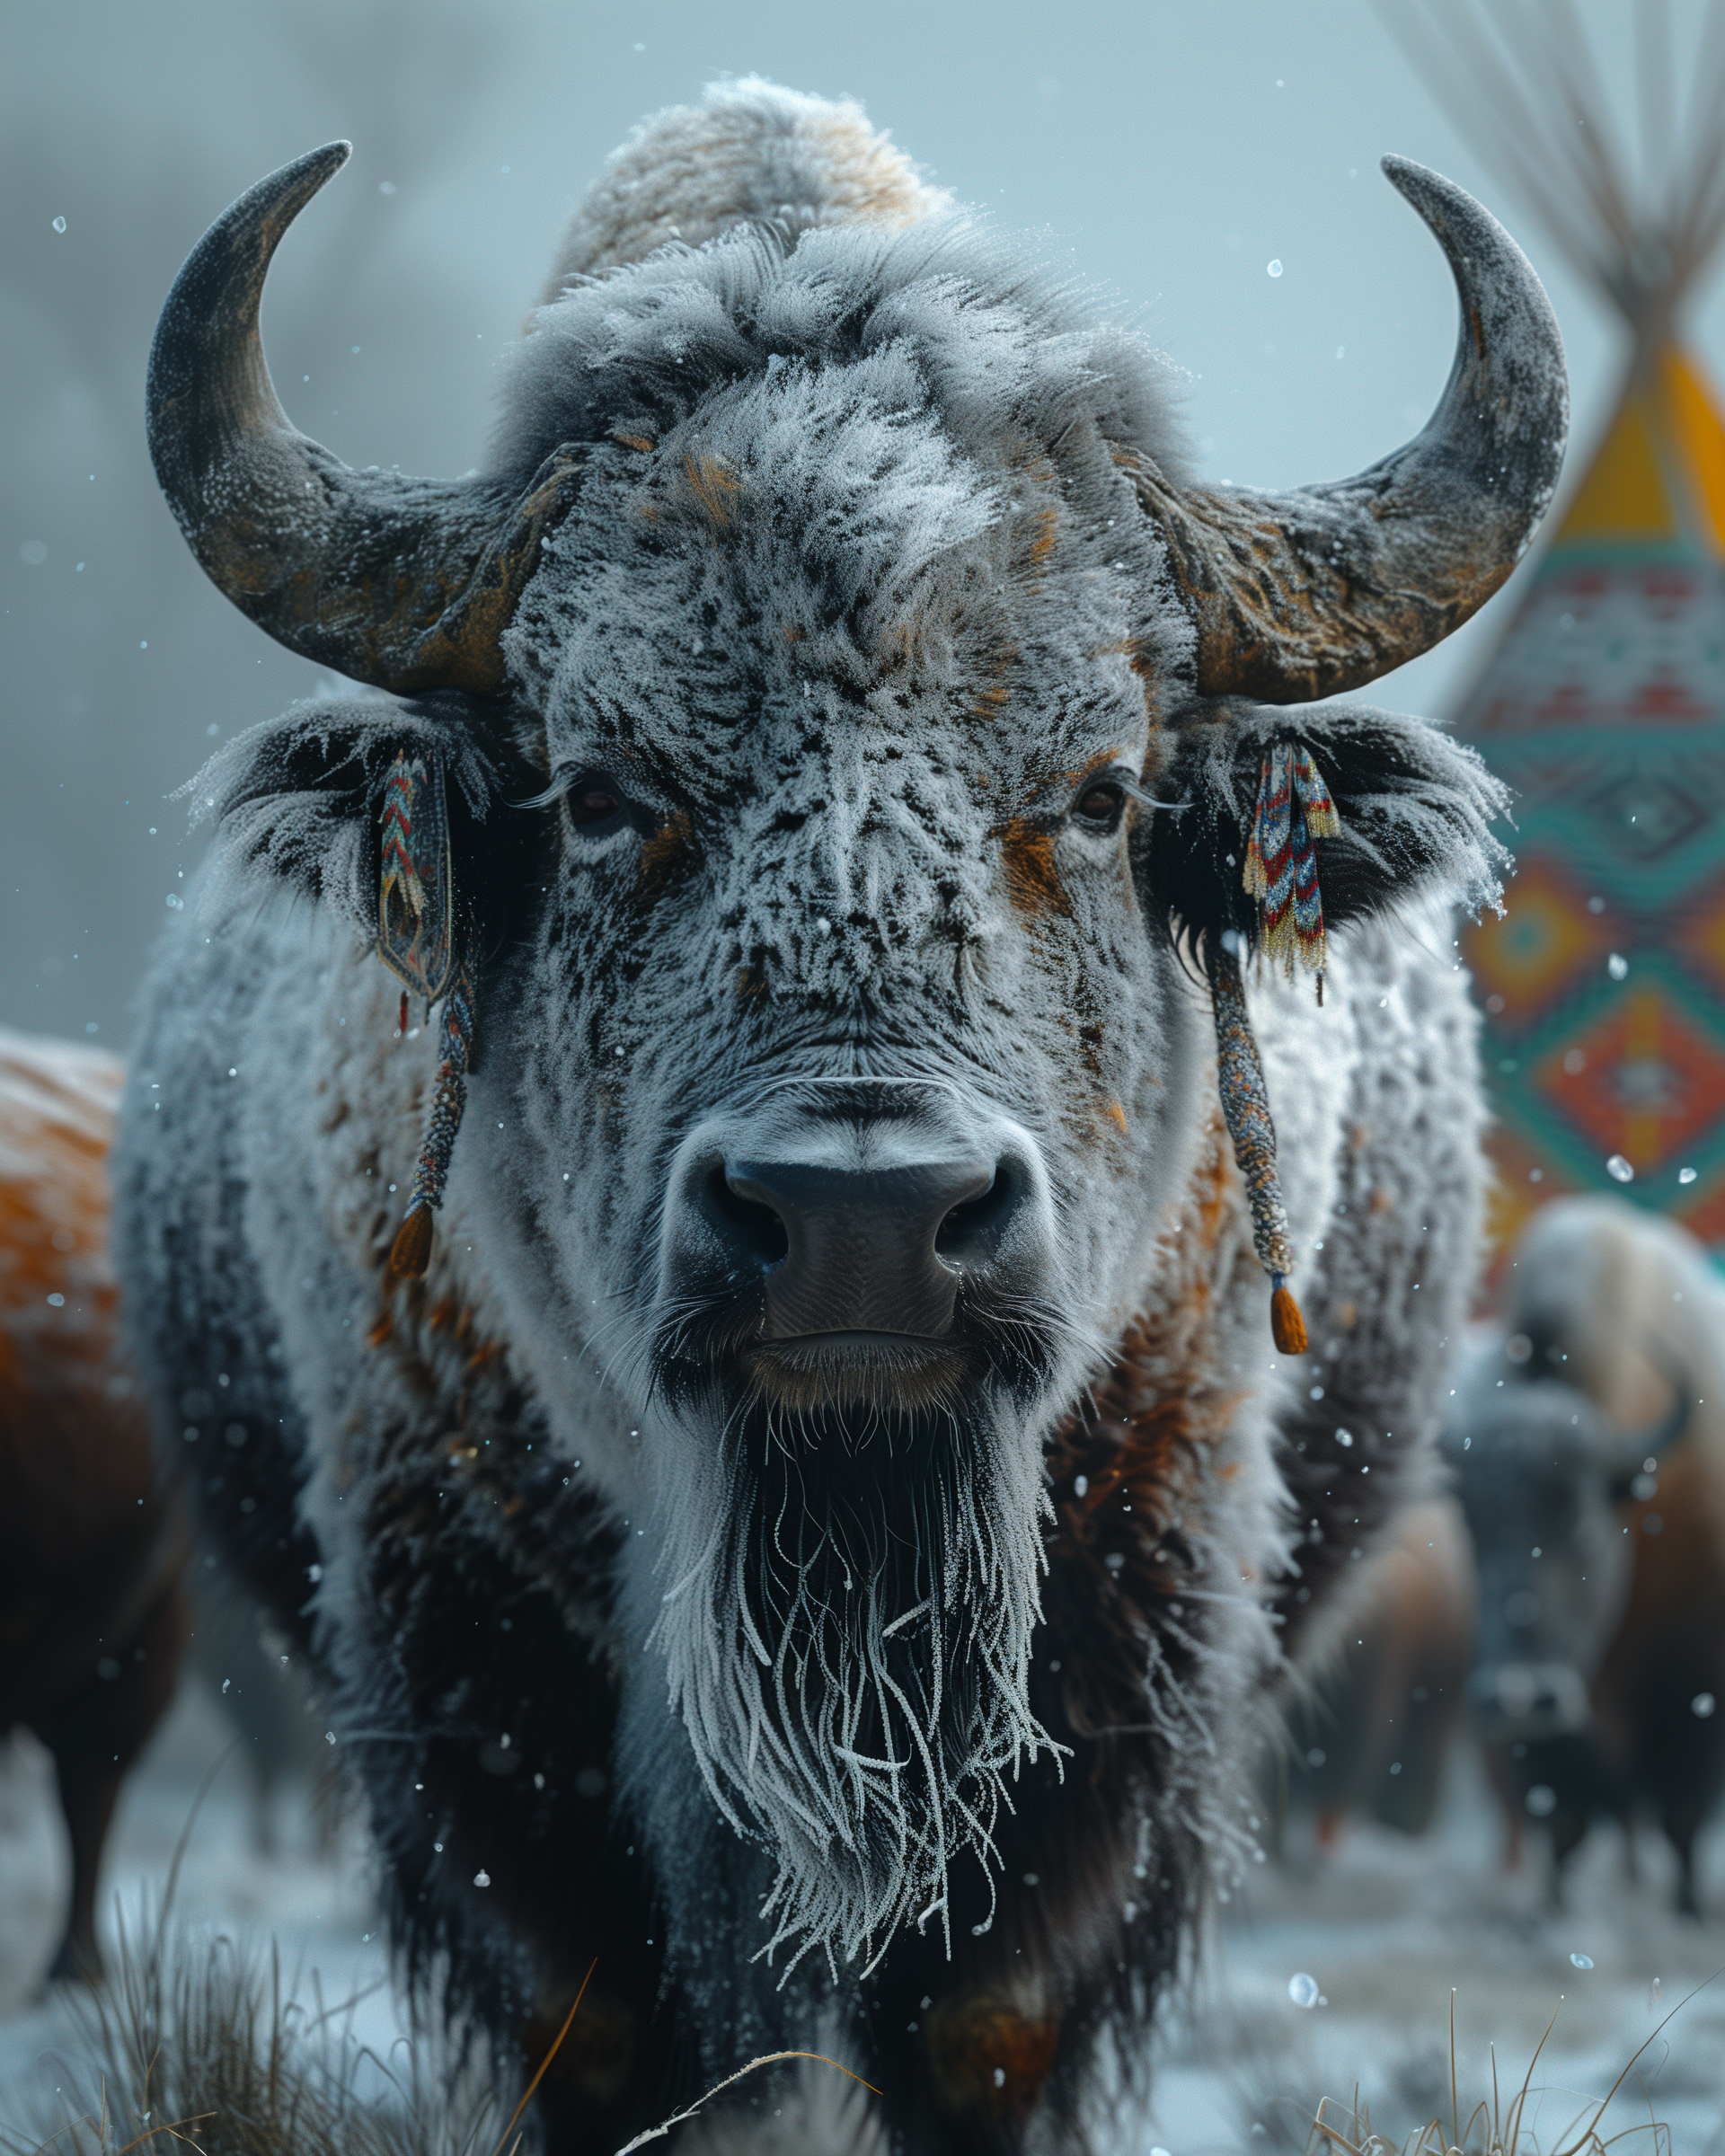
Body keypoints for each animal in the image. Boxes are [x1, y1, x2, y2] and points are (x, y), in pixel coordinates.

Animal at [114, 81, 1566, 2152]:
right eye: (599, 789)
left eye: (1103, 790)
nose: (862, 1226)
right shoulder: (468, 1663)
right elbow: (611, 2027)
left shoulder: (1113, 1655)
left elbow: (982, 2018)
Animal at [1446, 1196, 1725, 1913]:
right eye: (1471, 1520)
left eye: (1582, 1516)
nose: (1520, 1700)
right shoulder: (1543, 1755)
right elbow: (1563, 1825)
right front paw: (1549, 1913)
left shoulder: (1694, 1697)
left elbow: (1682, 1822)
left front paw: (1687, 1907)